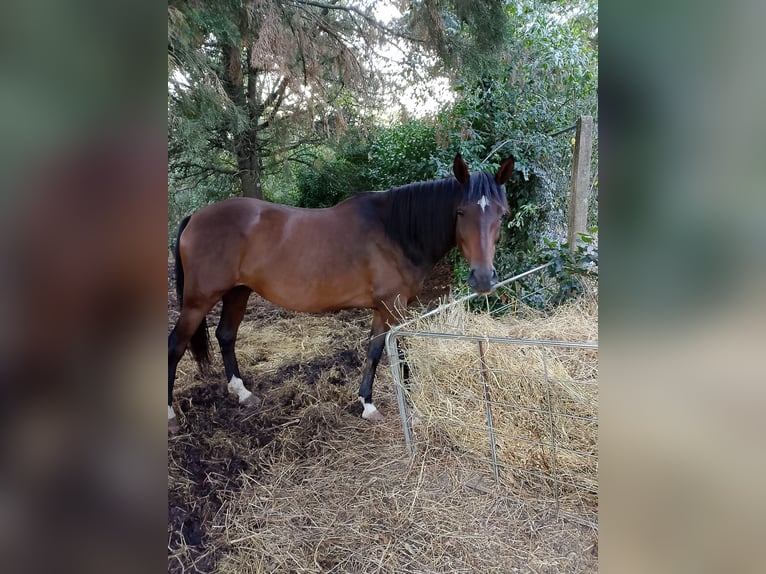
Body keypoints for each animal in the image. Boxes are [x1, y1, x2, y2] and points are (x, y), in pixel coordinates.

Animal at [169, 153, 516, 432]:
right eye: (460, 212)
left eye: (502, 213)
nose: (483, 278)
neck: (396, 231)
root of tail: (195, 217)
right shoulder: (395, 306)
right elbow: (402, 352)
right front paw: (414, 411)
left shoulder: (382, 308)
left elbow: (375, 351)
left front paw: (368, 404)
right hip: (199, 300)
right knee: (176, 345)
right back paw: (172, 415)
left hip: (237, 292)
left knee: (226, 335)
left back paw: (242, 393)